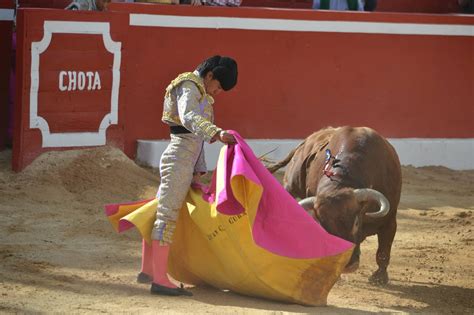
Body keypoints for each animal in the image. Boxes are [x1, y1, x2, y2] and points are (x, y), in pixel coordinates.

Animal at [268, 127, 402, 286]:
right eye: (326, 227)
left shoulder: (390, 220)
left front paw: (379, 278)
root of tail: (307, 140)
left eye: (356, 223)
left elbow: (383, 251)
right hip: (290, 185)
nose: (348, 265)